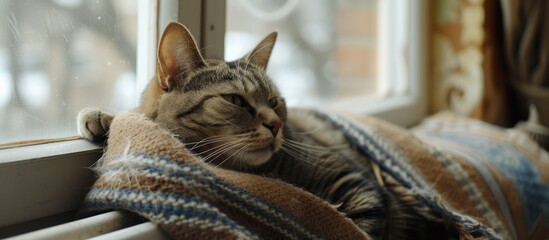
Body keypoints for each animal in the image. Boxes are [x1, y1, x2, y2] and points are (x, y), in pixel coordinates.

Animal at [78, 22, 454, 238]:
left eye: (275, 102)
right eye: (236, 100)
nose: (275, 124)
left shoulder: (352, 179)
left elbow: (360, 230)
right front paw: (100, 117)